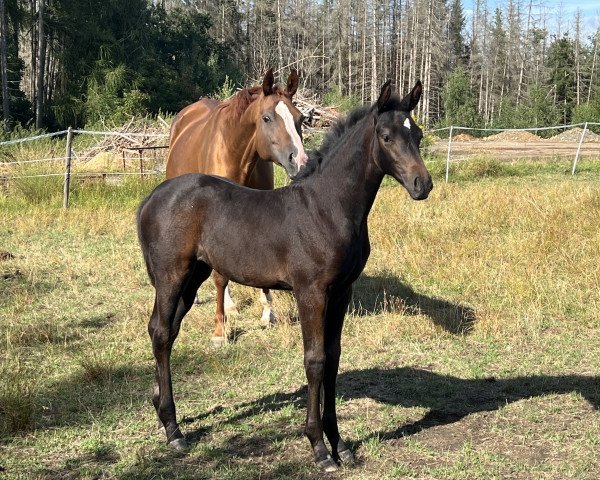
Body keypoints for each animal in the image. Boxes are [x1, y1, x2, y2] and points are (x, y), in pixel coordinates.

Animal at [166, 69, 308, 344]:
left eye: (300, 118)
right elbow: (220, 277)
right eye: (266, 118)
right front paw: (220, 331)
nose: (301, 162)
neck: (236, 153)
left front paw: (268, 313)